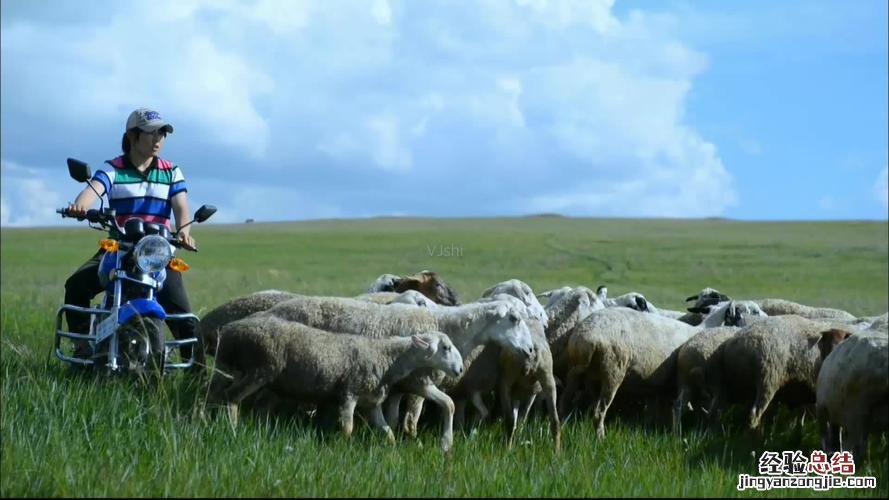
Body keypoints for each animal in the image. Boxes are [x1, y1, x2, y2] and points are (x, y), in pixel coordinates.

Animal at [206, 320, 462, 450]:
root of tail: (229, 331)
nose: (459, 370)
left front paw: (392, 453)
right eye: (446, 348)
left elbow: (387, 431)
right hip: (259, 368)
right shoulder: (348, 393)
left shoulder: (371, 402)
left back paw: (211, 423)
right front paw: (341, 449)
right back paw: (233, 429)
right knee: (231, 397)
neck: (386, 356)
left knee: (216, 395)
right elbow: (348, 428)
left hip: (236, 369)